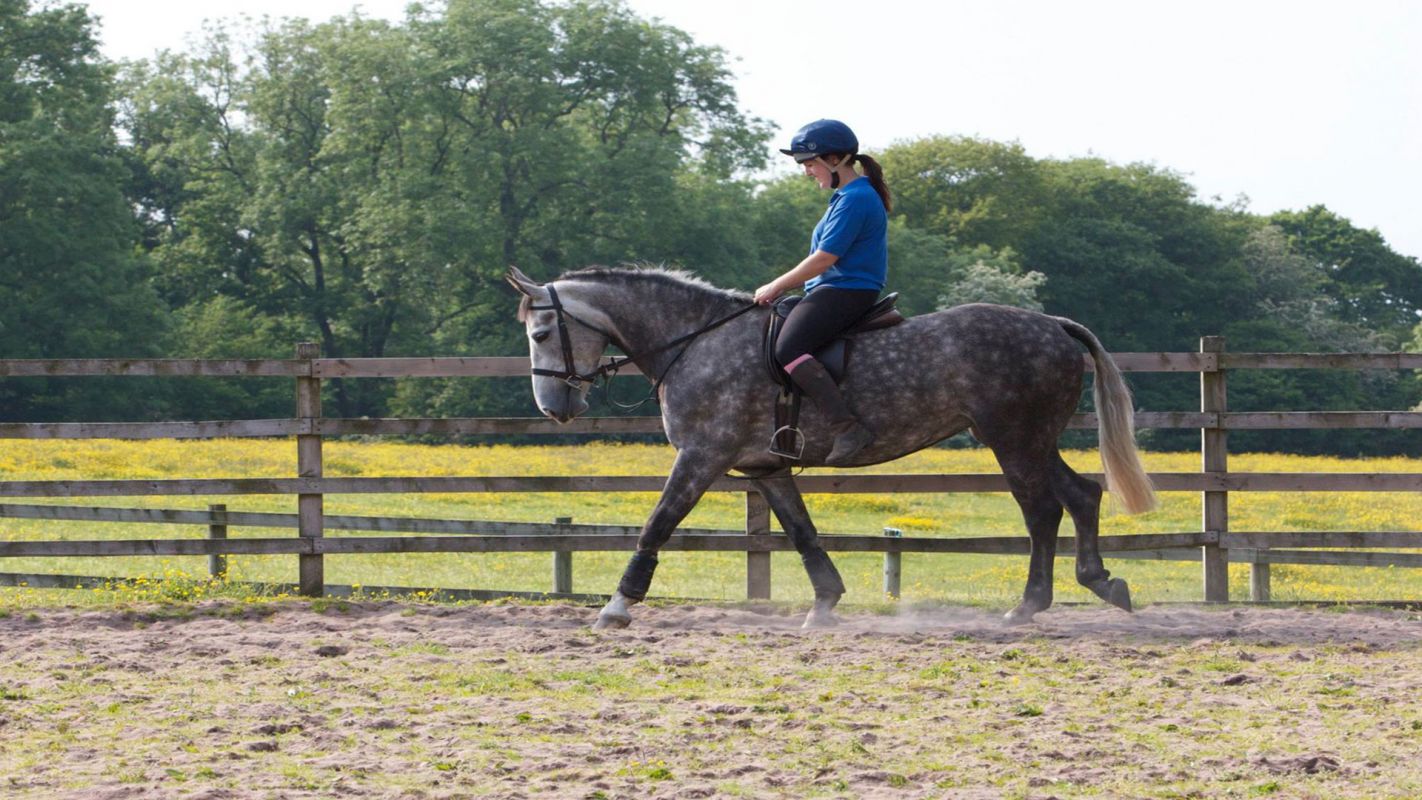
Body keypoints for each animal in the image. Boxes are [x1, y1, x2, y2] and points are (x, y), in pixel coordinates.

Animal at [503, 265, 1154, 628]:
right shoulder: (764, 467)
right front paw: (825, 602)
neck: (695, 342)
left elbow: (657, 523)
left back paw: (1029, 604)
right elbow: (802, 532)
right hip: (1034, 440)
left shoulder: (701, 457)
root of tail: (1052, 325)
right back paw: (1102, 583)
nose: (554, 407)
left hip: (1013, 439)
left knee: (1043, 511)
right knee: (1082, 495)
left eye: (543, 332)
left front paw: (618, 604)